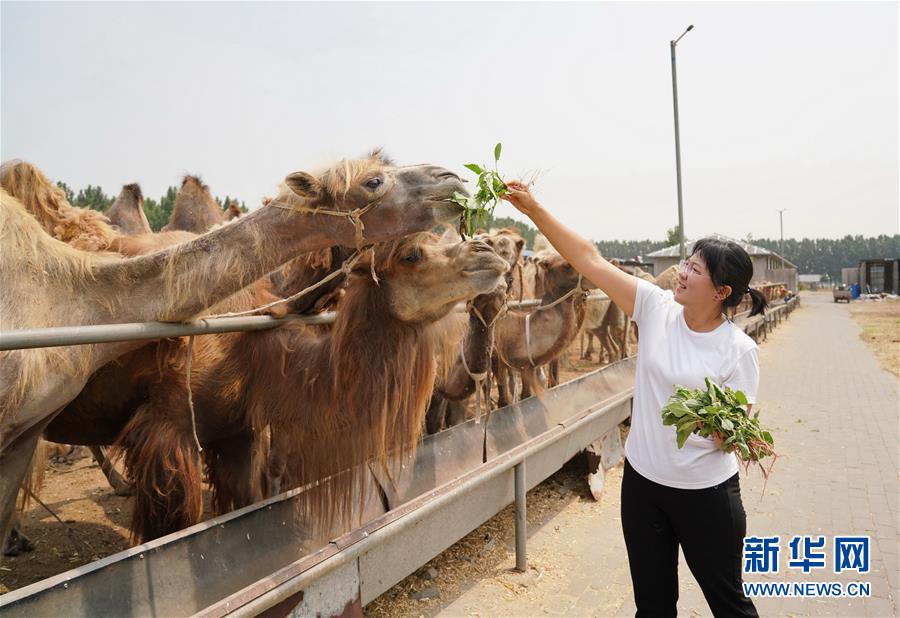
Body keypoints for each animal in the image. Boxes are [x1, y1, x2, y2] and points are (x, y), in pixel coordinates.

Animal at [1, 154, 472, 548]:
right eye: (373, 181)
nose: (454, 177)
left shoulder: (239, 426)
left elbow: (250, 500)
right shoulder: (169, 426)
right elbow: (170, 529)